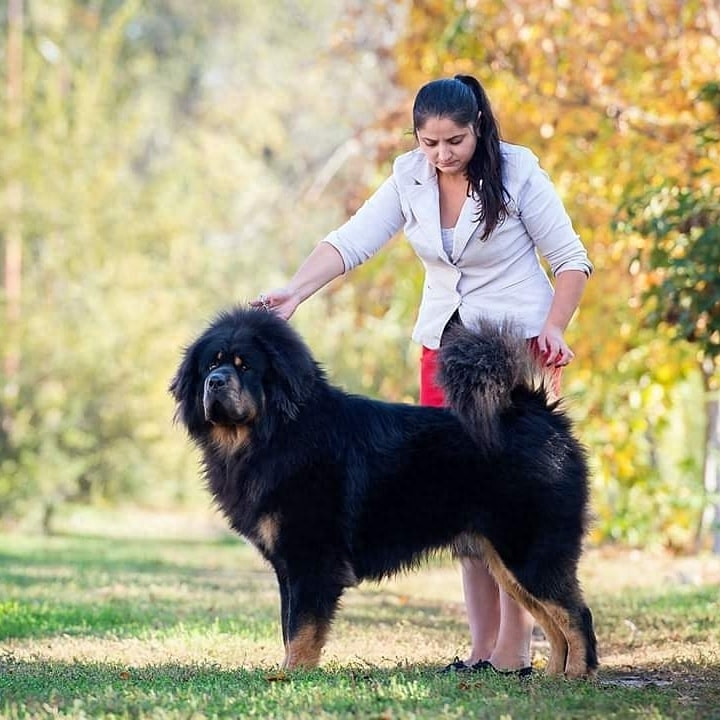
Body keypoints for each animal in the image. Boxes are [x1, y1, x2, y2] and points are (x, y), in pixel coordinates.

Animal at [172, 306, 600, 676]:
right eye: (211, 364)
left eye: (244, 366)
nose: (215, 382)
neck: (275, 435)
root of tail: (542, 415)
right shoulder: (288, 566)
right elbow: (288, 625)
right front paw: (287, 671)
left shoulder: (311, 559)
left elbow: (301, 628)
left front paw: (291, 676)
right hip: (505, 559)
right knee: (552, 620)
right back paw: (553, 676)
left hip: (528, 553)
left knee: (576, 616)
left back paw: (578, 676)